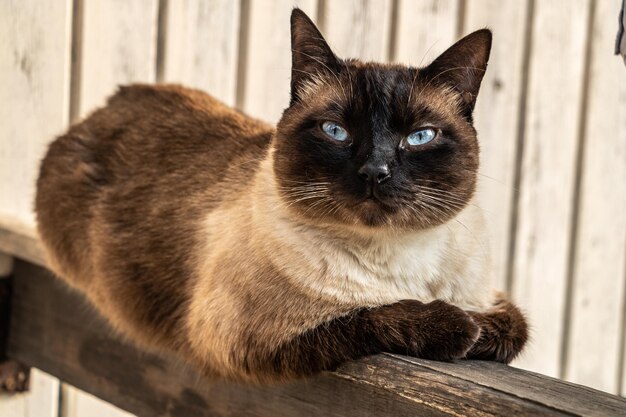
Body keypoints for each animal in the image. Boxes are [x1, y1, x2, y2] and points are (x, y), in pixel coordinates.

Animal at [35, 8, 528, 382]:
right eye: (335, 132)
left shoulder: (493, 298)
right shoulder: (244, 339)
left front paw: (476, 328)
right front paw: (457, 327)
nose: (375, 172)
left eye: (420, 137)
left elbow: (508, 328)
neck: (397, 260)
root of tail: (110, 103)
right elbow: (373, 313)